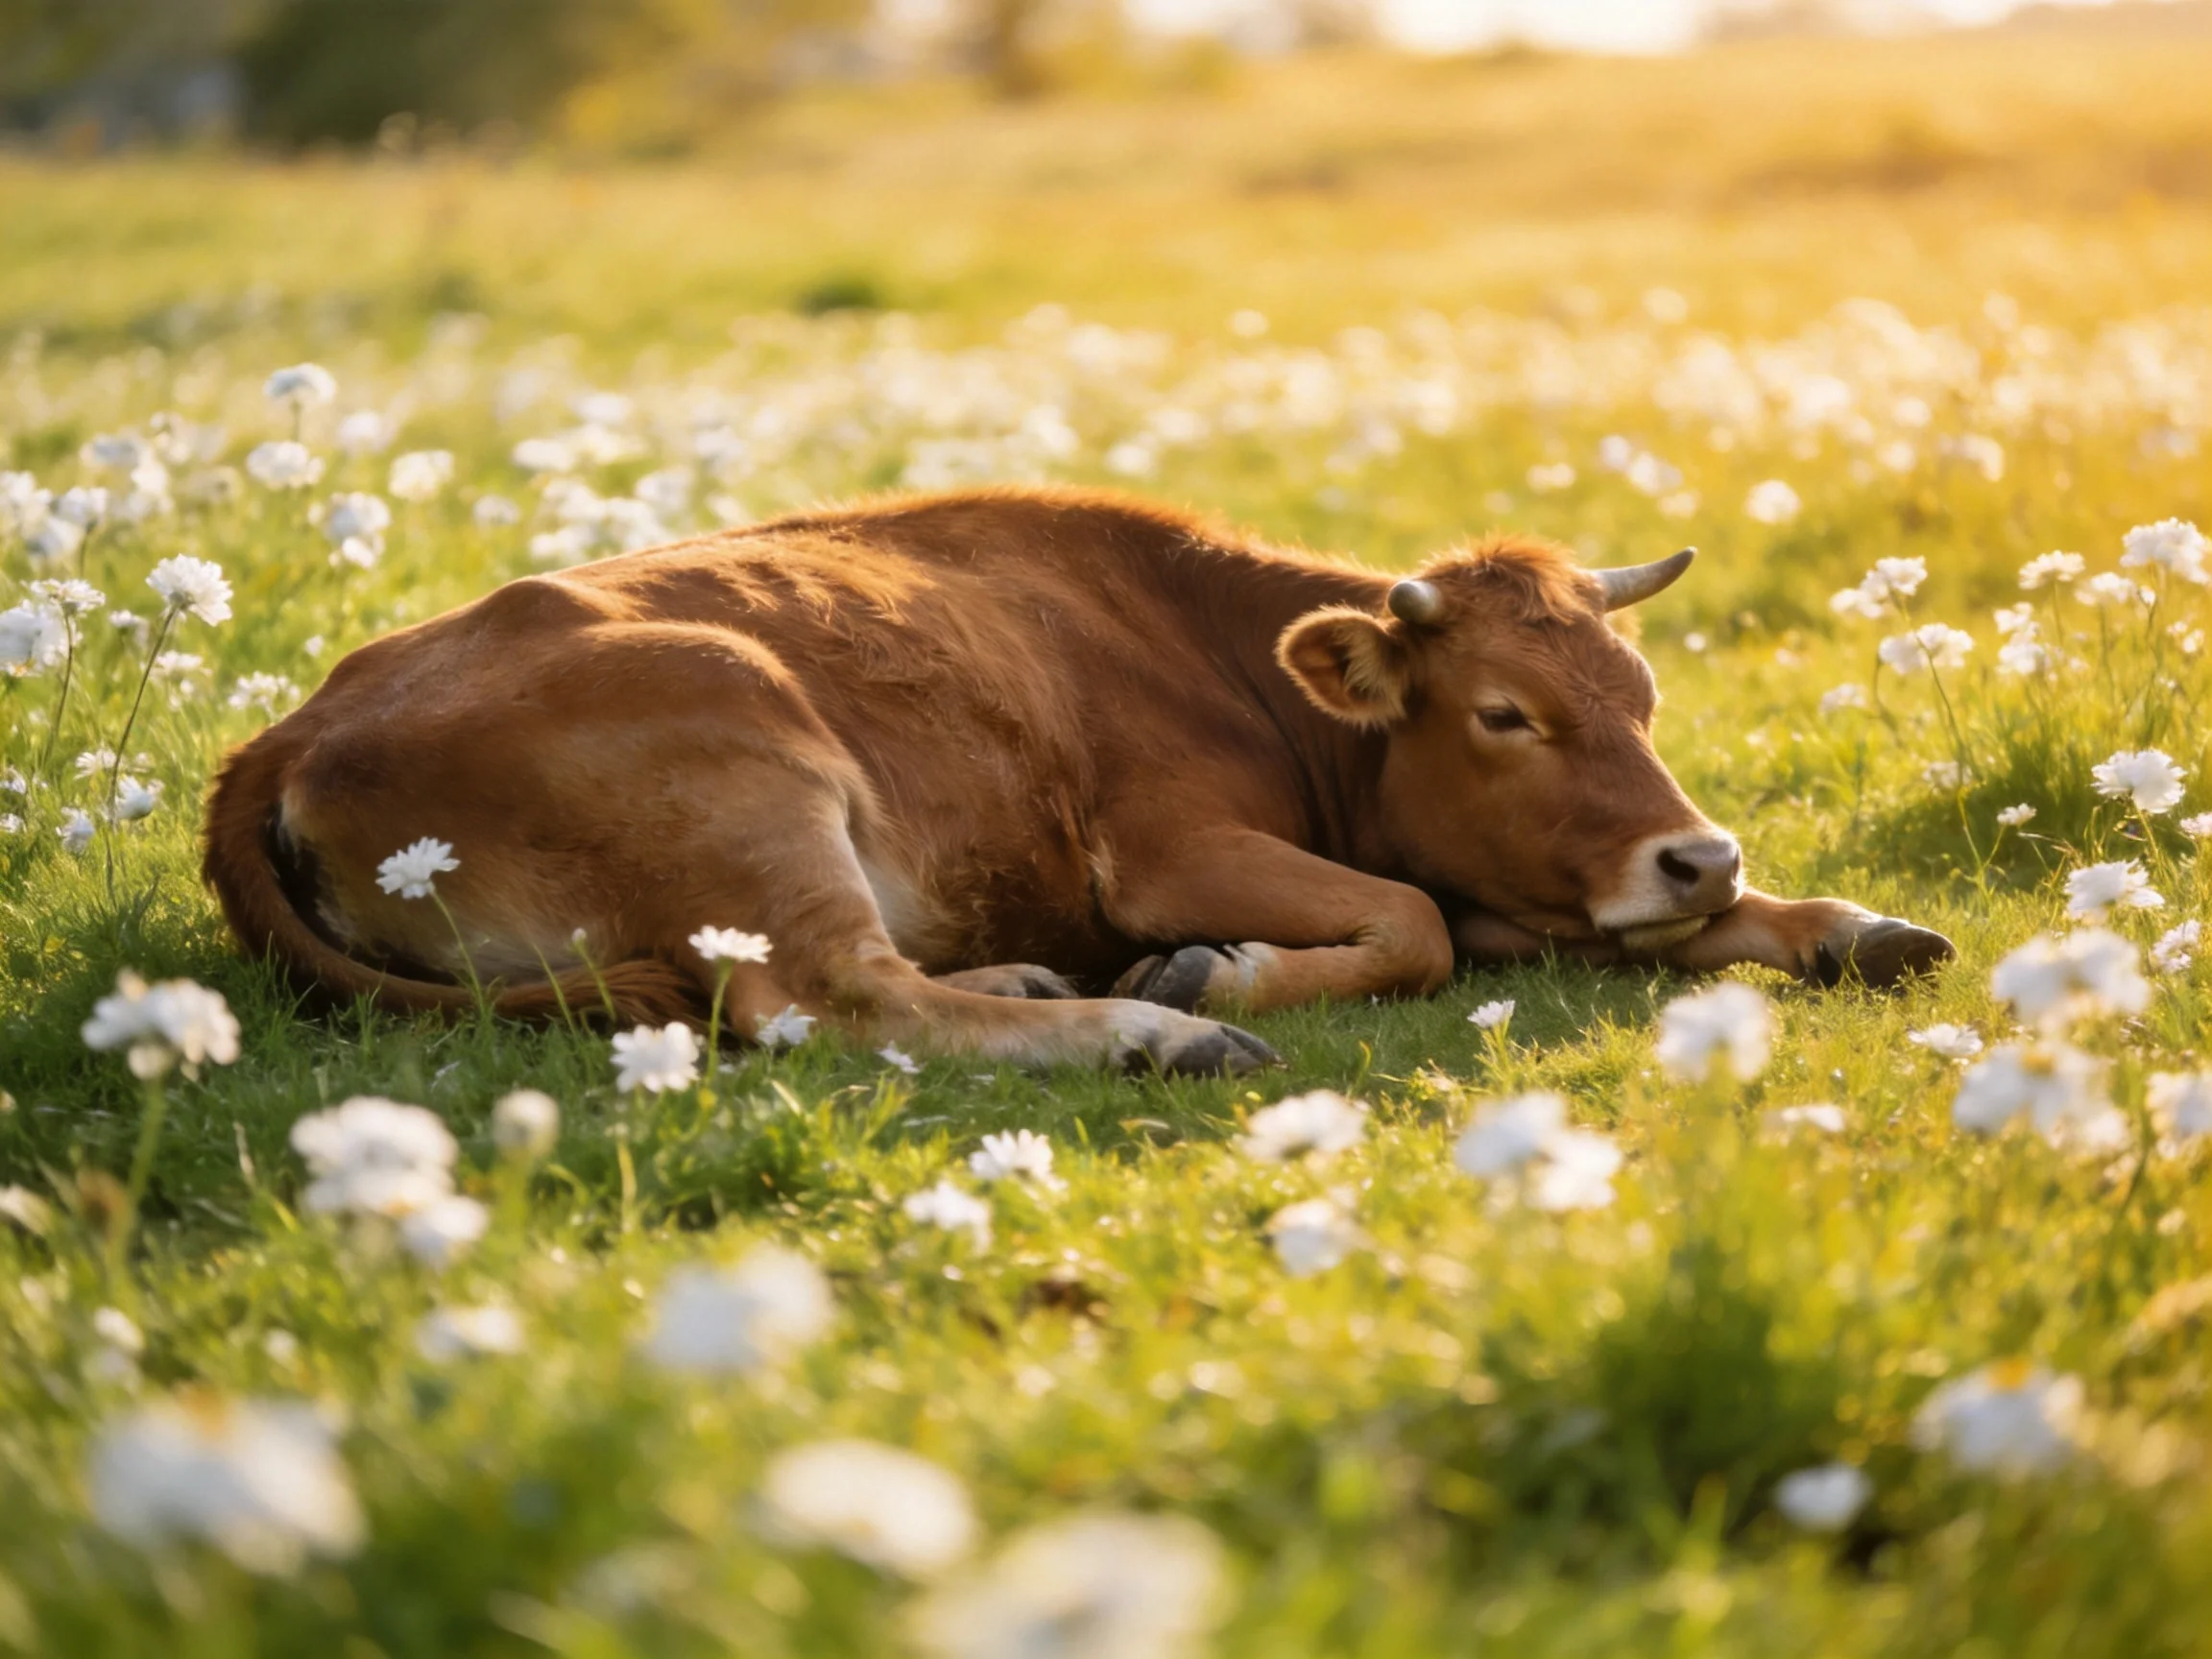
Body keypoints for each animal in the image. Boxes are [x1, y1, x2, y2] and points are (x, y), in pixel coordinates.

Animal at [203, 488, 1953, 1075]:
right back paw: (1146, 1026)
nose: (1698, 853)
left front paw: (1837, 922)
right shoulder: (1161, 851)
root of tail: (299, 722)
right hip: (752, 771)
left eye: (1638, 696)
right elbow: (1406, 925)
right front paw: (1206, 973)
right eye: (1504, 715)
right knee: (834, 1000)